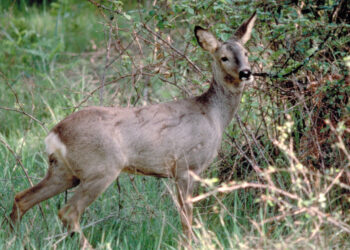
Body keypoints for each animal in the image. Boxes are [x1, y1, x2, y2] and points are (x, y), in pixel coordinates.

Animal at [10, 12, 258, 248]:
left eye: (246, 52)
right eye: (224, 57)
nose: (246, 72)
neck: (213, 115)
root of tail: (54, 134)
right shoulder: (187, 166)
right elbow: (186, 218)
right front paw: (188, 244)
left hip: (64, 171)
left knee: (22, 198)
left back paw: (15, 239)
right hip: (100, 168)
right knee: (68, 211)